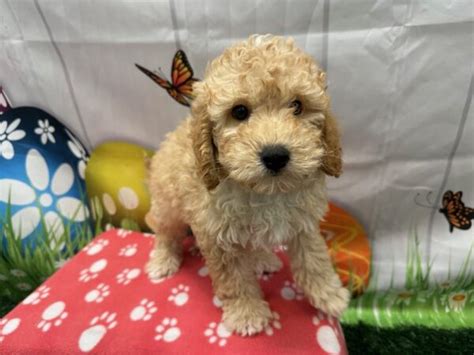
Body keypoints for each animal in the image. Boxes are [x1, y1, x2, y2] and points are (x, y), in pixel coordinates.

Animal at [146, 35, 350, 336]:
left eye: (297, 106)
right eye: (239, 111)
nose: (275, 155)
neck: (263, 191)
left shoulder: (303, 222)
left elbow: (314, 258)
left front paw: (329, 294)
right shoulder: (217, 236)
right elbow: (234, 280)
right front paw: (247, 314)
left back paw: (263, 258)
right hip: (167, 203)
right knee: (164, 231)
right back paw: (163, 260)